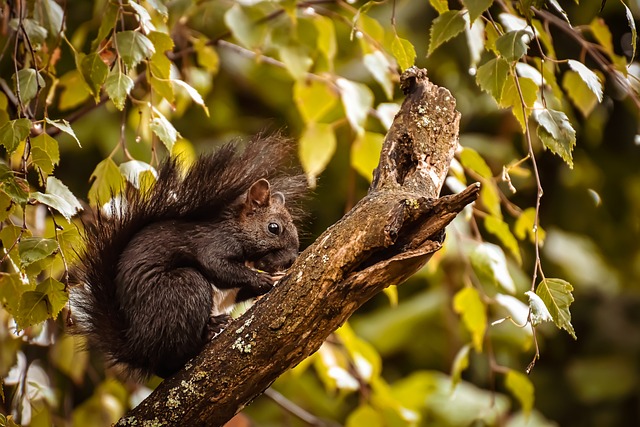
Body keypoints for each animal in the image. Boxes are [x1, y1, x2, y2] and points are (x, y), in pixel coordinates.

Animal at [71, 135, 306, 380]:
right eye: (273, 228)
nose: (291, 260)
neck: (236, 228)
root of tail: (137, 347)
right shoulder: (213, 243)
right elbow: (218, 266)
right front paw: (263, 279)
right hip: (183, 288)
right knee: (173, 356)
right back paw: (207, 333)